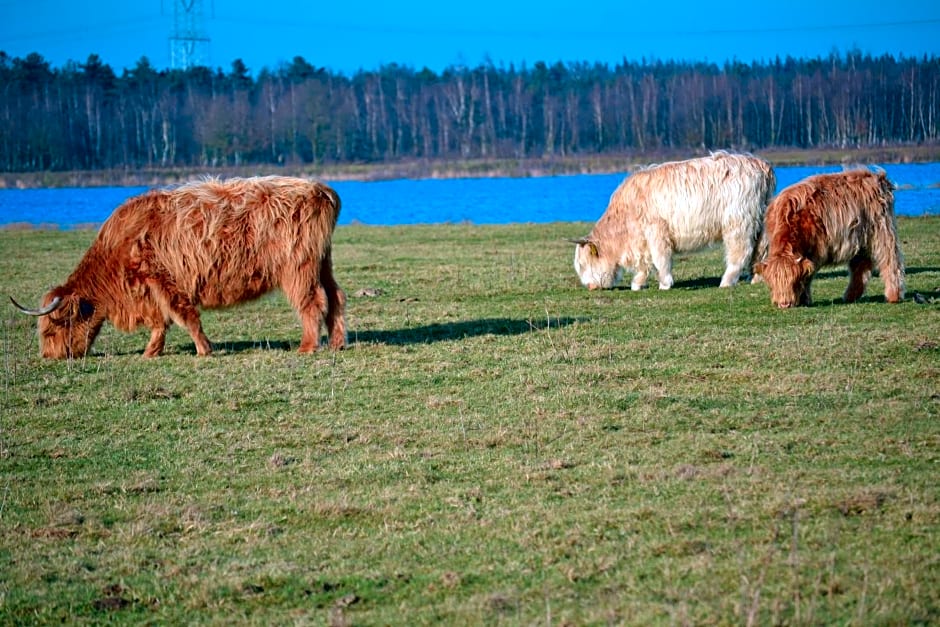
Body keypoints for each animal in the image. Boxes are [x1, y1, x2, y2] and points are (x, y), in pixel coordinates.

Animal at [10, 177, 348, 358]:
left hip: (298, 268)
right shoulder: (152, 288)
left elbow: (183, 317)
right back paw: (336, 343)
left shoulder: (162, 280)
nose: (48, 356)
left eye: (52, 327)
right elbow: (162, 321)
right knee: (335, 297)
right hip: (323, 262)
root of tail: (320, 188)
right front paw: (151, 352)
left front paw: (203, 349)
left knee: (312, 302)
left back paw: (307, 346)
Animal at [568, 152, 776, 292]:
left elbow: (660, 258)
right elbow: (645, 263)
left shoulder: (656, 231)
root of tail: (760, 164)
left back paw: (727, 281)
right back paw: (757, 277)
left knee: (741, 251)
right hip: (759, 222)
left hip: (738, 222)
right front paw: (638, 283)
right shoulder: (641, 240)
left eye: (584, 265)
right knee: (761, 249)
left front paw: (664, 283)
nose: (590, 287)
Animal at [752, 169, 908, 310]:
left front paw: (804, 298)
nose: (784, 304)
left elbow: (808, 276)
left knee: (890, 260)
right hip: (861, 239)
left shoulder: (815, 251)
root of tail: (878, 178)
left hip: (882, 231)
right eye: (772, 284)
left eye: (793, 282)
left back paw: (894, 295)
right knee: (861, 266)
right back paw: (850, 296)